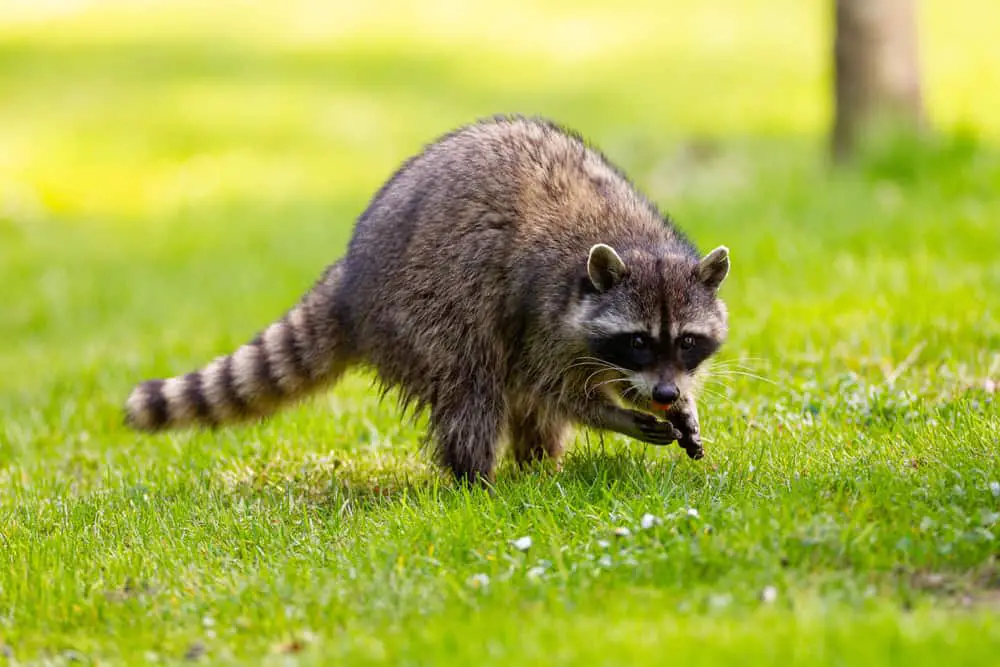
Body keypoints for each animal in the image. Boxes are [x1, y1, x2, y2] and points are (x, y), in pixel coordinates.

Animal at [129, 116, 732, 486]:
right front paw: (615, 414)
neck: (636, 242)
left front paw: (679, 403)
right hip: (421, 308)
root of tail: (350, 277)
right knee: (473, 384)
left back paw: (539, 466)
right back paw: (478, 480)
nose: (663, 392)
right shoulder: (543, 311)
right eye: (637, 341)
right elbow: (554, 388)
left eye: (686, 341)